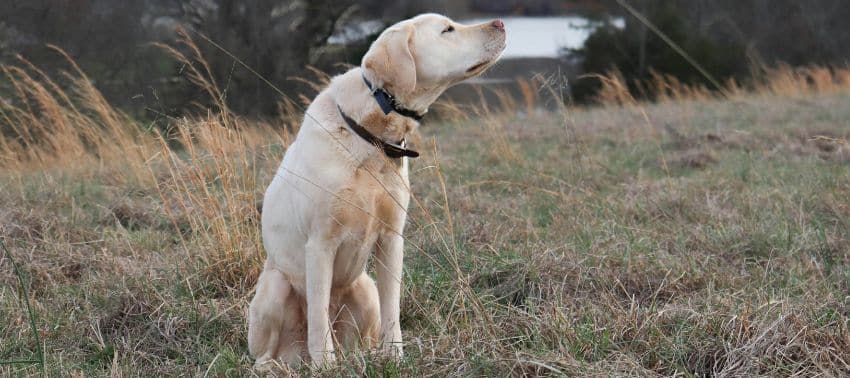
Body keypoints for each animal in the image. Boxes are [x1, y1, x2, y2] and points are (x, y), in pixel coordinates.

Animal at [250, 13, 504, 364]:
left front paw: (395, 357)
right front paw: (326, 365)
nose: (501, 23)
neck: (371, 138)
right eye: (447, 29)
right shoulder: (320, 244)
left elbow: (392, 308)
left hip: (364, 288)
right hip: (275, 285)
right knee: (269, 350)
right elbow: (318, 315)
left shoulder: (392, 239)